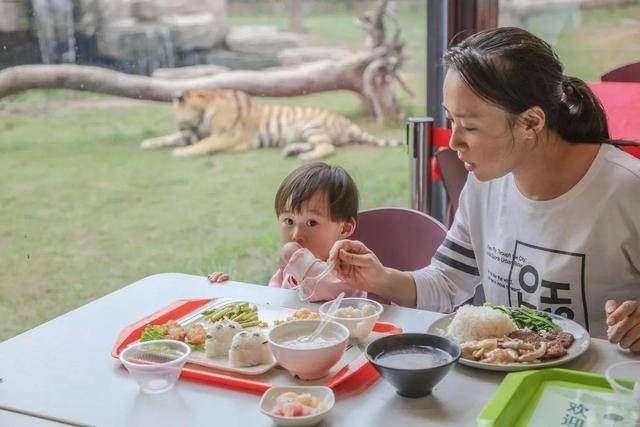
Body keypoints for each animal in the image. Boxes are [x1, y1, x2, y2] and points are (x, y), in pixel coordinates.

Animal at [141, 89, 400, 160]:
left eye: (176, 117)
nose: (180, 126)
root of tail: (347, 122)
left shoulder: (227, 135)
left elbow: (204, 144)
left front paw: (181, 152)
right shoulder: (196, 132)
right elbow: (168, 138)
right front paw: (148, 143)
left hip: (310, 125)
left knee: (327, 148)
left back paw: (304, 157)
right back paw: (291, 150)